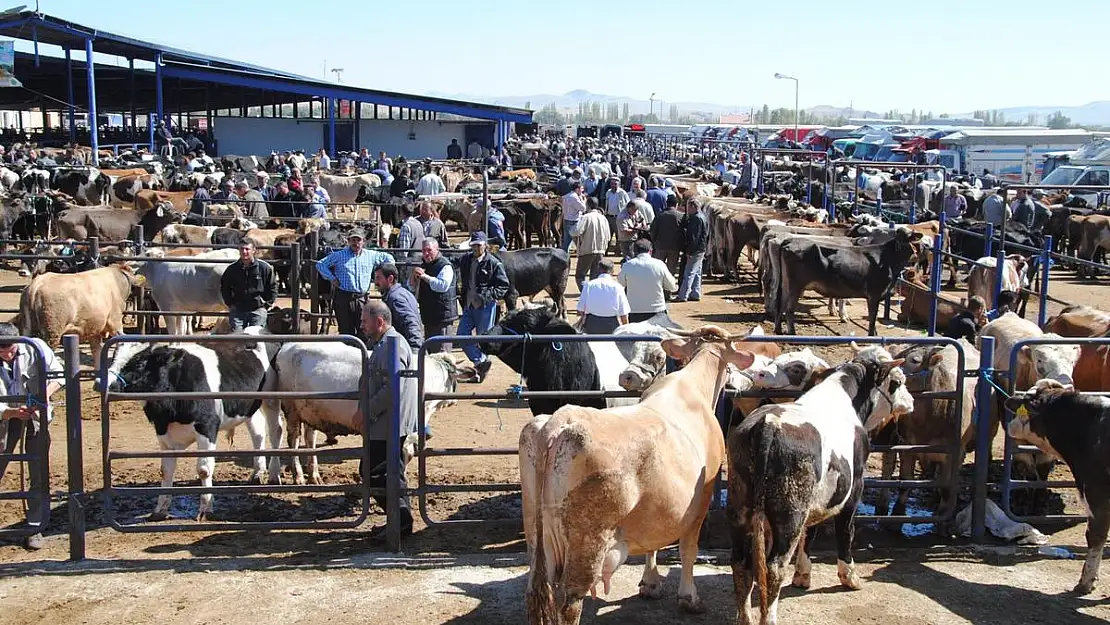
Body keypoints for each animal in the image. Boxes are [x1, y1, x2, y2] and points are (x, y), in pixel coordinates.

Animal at [103, 328, 281, 523]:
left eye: (140, 362)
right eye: (113, 357)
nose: (104, 383)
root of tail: (259, 330)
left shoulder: (207, 427)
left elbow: (204, 470)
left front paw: (206, 509)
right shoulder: (163, 432)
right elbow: (166, 470)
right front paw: (160, 510)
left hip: (272, 400)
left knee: (275, 431)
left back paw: (274, 475)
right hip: (249, 407)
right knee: (258, 433)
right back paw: (257, 473)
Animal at [519, 326, 763, 621]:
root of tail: (558, 422)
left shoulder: (656, 508)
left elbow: (652, 543)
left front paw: (650, 583)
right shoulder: (701, 500)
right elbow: (688, 550)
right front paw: (689, 598)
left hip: (536, 532)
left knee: (535, 590)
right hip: (586, 542)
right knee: (570, 602)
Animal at [728, 346, 910, 625]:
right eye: (897, 380)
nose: (910, 401)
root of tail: (767, 423)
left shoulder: (817, 501)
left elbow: (810, 532)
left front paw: (803, 575)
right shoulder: (854, 487)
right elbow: (845, 530)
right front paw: (850, 576)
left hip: (741, 508)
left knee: (741, 562)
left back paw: (745, 617)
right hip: (790, 513)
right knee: (774, 567)